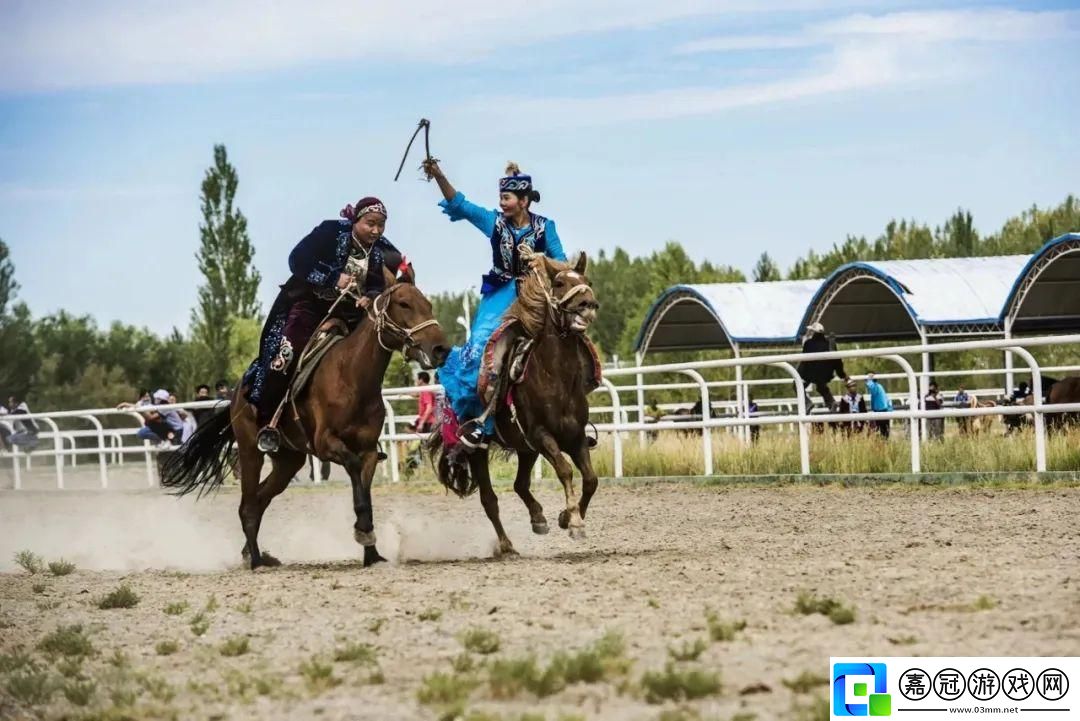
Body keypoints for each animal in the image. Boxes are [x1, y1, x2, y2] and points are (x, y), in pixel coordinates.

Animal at [158, 278, 447, 569]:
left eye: (429, 304)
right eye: (404, 304)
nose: (440, 348)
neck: (351, 377)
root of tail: (239, 391)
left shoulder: (367, 451)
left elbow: (365, 494)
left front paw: (372, 553)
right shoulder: (326, 444)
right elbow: (355, 476)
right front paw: (363, 531)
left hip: (288, 461)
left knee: (260, 498)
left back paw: (255, 554)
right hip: (251, 451)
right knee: (248, 505)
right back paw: (256, 560)